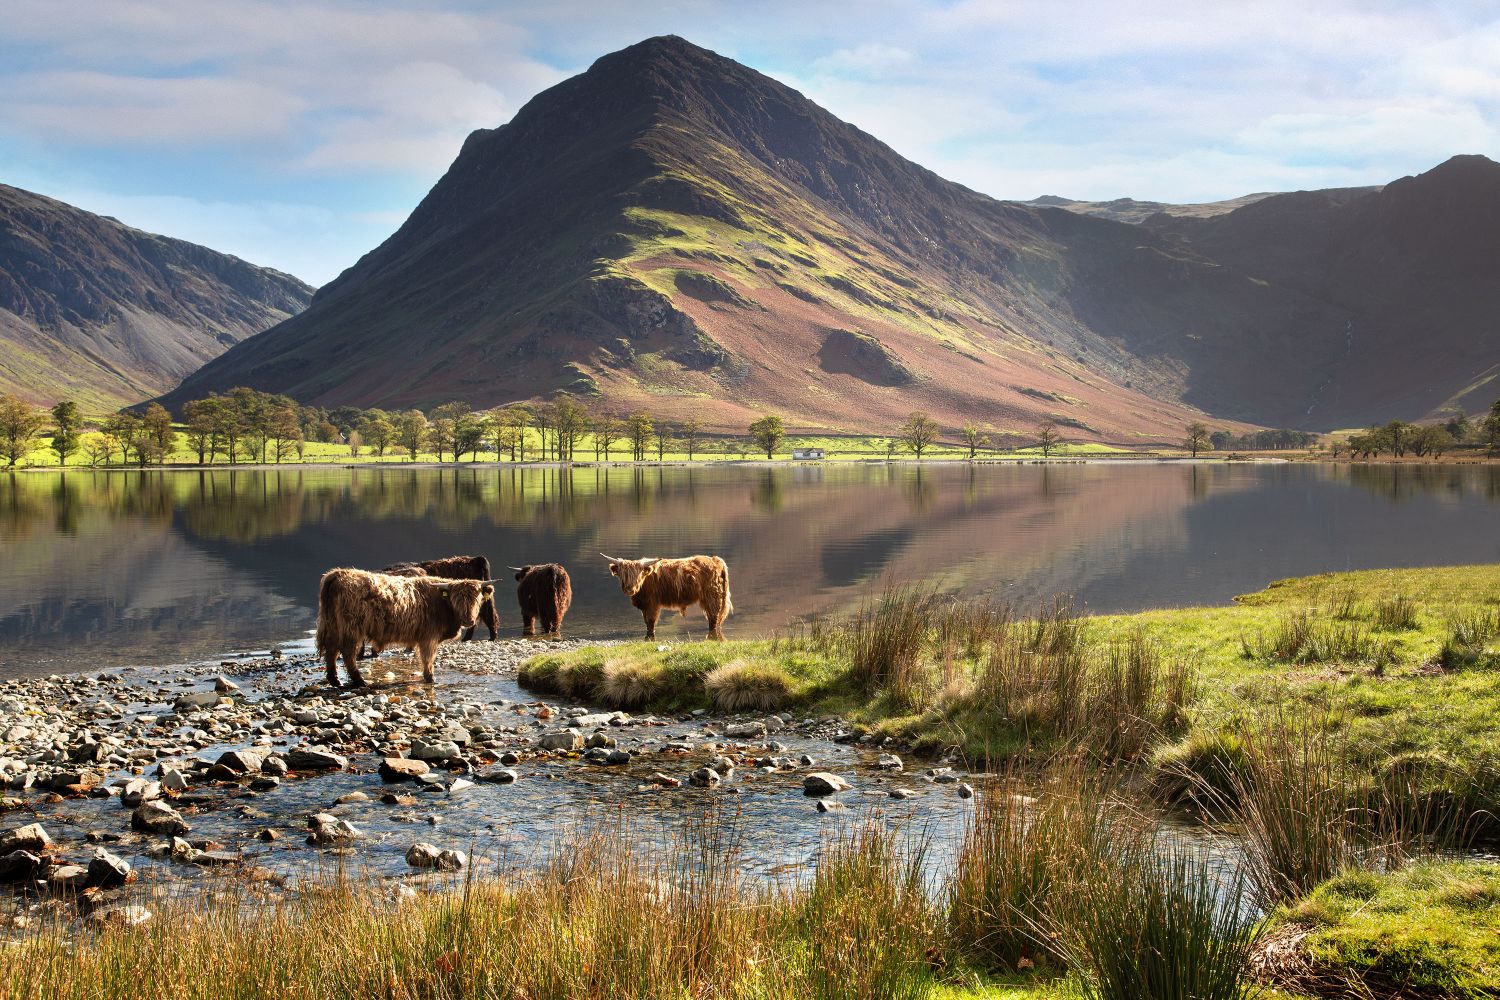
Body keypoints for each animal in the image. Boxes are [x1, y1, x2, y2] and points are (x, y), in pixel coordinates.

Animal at [318, 569, 498, 689]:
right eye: (456, 599)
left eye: (477, 598)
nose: (468, 620)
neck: (442, 604)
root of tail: (339, 573)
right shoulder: (429, 638)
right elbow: (428, 658)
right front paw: (430, 678)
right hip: (352, 628)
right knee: (347, 653)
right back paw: (360, 681)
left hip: (331, 624)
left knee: (331, 650)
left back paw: (335, 680)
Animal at [600, 554, 735, 641]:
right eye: (623, 575)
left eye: (638, 575)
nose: (629, 589)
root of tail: (715, 560)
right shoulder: (644, 606)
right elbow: (646, 621)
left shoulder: (652, 604)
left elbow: (651, 622)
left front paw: (650, 636)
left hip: (712, 597)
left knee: (713, 618)